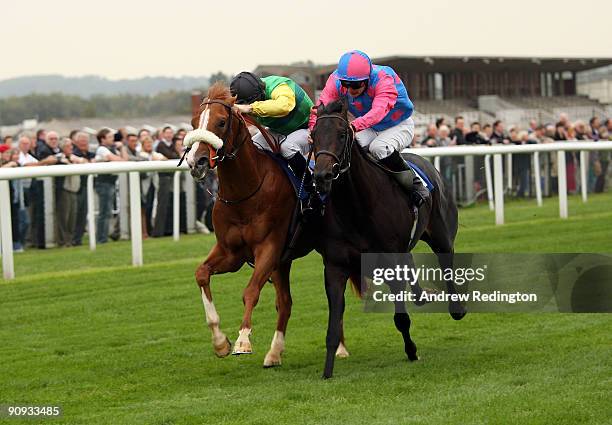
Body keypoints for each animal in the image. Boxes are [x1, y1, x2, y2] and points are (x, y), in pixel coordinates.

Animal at [183, 82, 322, 364]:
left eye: (221, 122)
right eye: (193, 123)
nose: (196, 162)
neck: (245, 193)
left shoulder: (269, 247)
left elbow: (250, 291)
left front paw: (243, 340)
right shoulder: (231, 252)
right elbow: (201, 273)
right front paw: (220, 342)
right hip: (283, 263)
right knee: (285, 302)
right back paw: (274, 353)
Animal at [314, 99, 466, 378]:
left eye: (341, 135)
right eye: (313, 135)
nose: (321, 176)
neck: (357, 206)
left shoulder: (388, 260)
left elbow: (401, 318)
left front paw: (412, 351)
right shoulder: (335, 266)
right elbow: (333, 323)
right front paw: (328, 370)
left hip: (442, 234)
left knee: (446, 264)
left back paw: (457, 309)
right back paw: (421, 295)